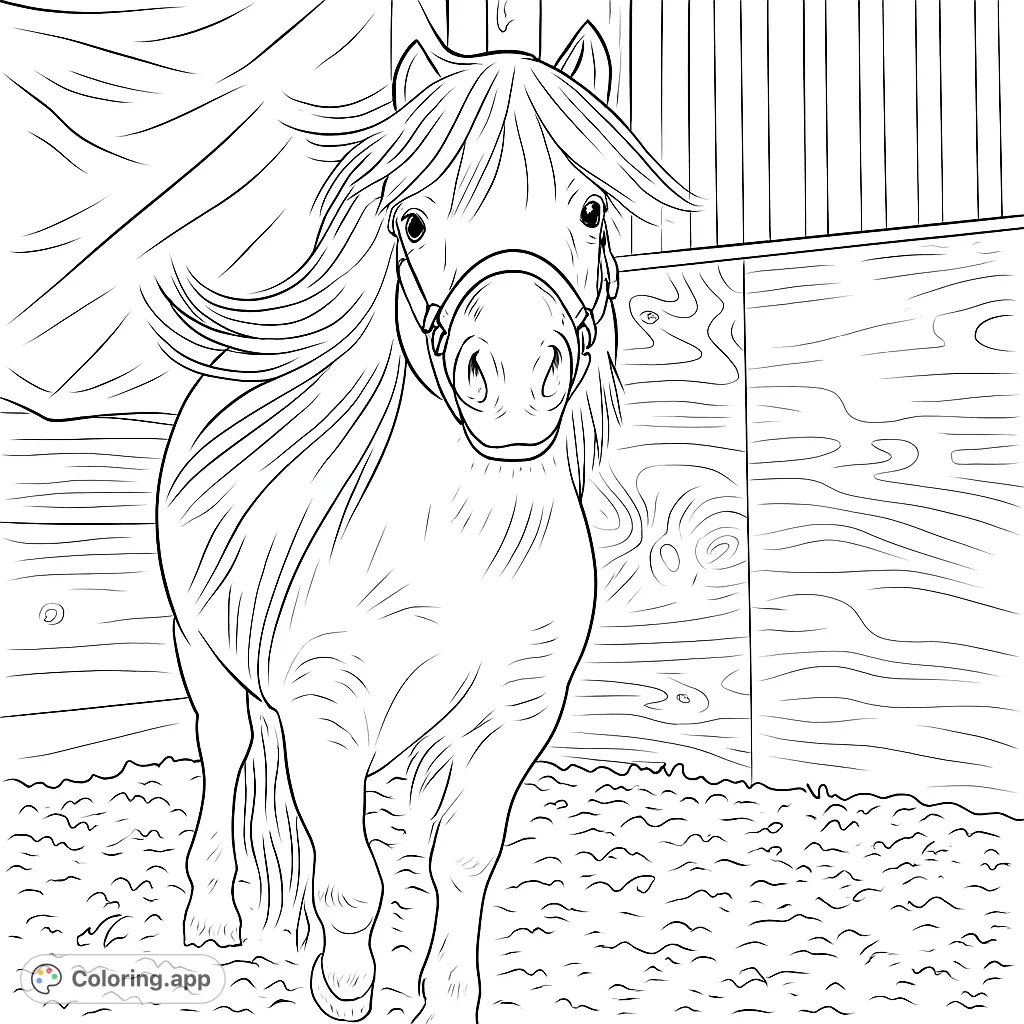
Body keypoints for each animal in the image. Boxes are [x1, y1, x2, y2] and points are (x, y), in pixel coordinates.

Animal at [153, 23, 696, 1023]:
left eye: (592, 209)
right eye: (412, 221)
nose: (514, 381)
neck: (465, 542)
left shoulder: (510, 722)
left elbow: (463, 864)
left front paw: (443, 993)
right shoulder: (327, 717)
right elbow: (351, 880)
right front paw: (346, 988)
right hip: (204, 653)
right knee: (225, 752)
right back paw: (212, 917)